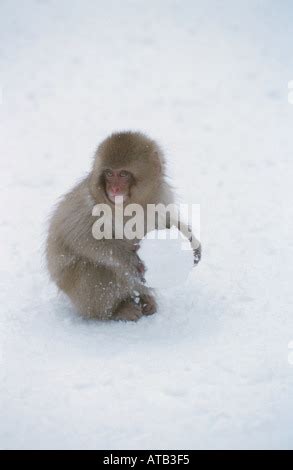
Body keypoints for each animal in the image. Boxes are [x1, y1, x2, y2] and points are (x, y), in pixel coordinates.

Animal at [46, 130, 201, 322]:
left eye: (123, 174)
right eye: (109, 173)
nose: (113, 189)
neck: (131, 204)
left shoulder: (160, 197)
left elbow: (163, 220)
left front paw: (191, 239)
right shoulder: (87, 205)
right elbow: (80, 237)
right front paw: (132, 260)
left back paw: (145, 299)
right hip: (74, 288)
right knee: (98, 269)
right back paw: (116, 310)